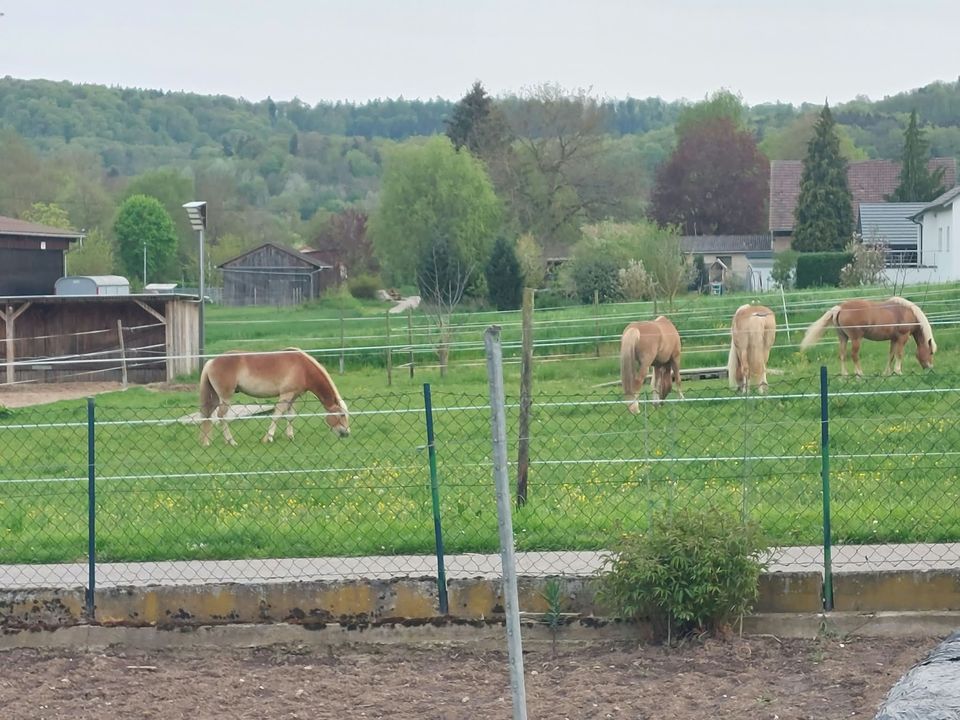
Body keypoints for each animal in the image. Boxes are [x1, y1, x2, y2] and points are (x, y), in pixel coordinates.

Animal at [199, 348, 350, 446]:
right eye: (341, 415)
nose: (346, 433)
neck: (303, 368)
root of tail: (211, 361)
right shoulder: (286, 395)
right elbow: (277, 415)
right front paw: (268, 438)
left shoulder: (293, 397)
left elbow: (290, 417)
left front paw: (290, 437)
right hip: (225, 398)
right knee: (221, 416)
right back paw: (231, 441)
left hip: (215, 398)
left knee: (208, 415)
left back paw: (208, 442)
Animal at [799, 296, 937, 377]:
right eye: (930, 353)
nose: (930, 368)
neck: (907, 312)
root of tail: (840, 307)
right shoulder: (902, 338)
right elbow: (899, 355)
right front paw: (898, 371)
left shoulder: (893, 339)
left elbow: (891, 356)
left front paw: (887, 373)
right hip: (856, 339)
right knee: (854, 355)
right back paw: (860, 373)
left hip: (843, 338)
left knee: (842, 355)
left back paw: (845, 374)